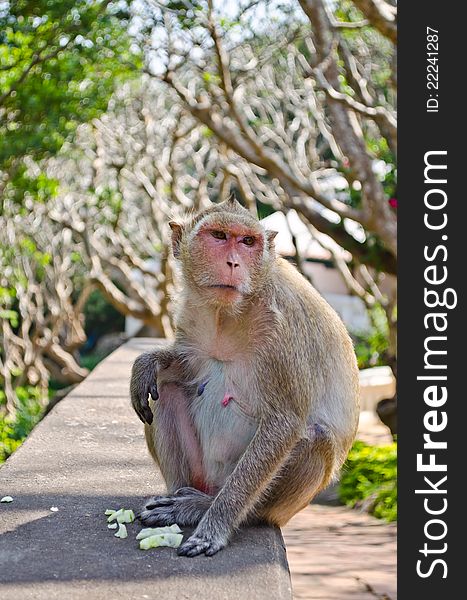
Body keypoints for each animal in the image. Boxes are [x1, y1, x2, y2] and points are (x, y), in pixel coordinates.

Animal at [130, 197, 360, 556]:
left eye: (248, 242)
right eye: (219, 236)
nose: (233, 263)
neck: (229, 312)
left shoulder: (283, 326)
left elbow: (284, 423)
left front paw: (214, 527)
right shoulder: (191, 309)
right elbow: (187, 366)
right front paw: (147, 363)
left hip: (277, 505)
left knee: (315, 438)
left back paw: (205, 507)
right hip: (201, 472)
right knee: (166, 390)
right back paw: (177, 498)